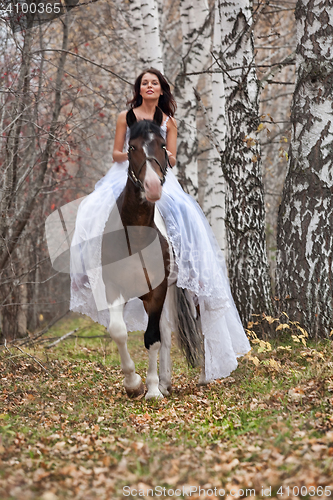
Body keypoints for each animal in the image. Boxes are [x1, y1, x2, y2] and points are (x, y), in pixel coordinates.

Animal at [101, 120, 204, 398]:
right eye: (132, 147)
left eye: (163, 145)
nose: (153, 186)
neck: (136, 235)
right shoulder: (114, 287)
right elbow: (119, 331)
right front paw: (133, 383)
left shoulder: (156, 292)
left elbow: (153, 338)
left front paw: (152, 389)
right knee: (167, 332)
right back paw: (166, 382)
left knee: (186, 329)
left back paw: (192, 378)